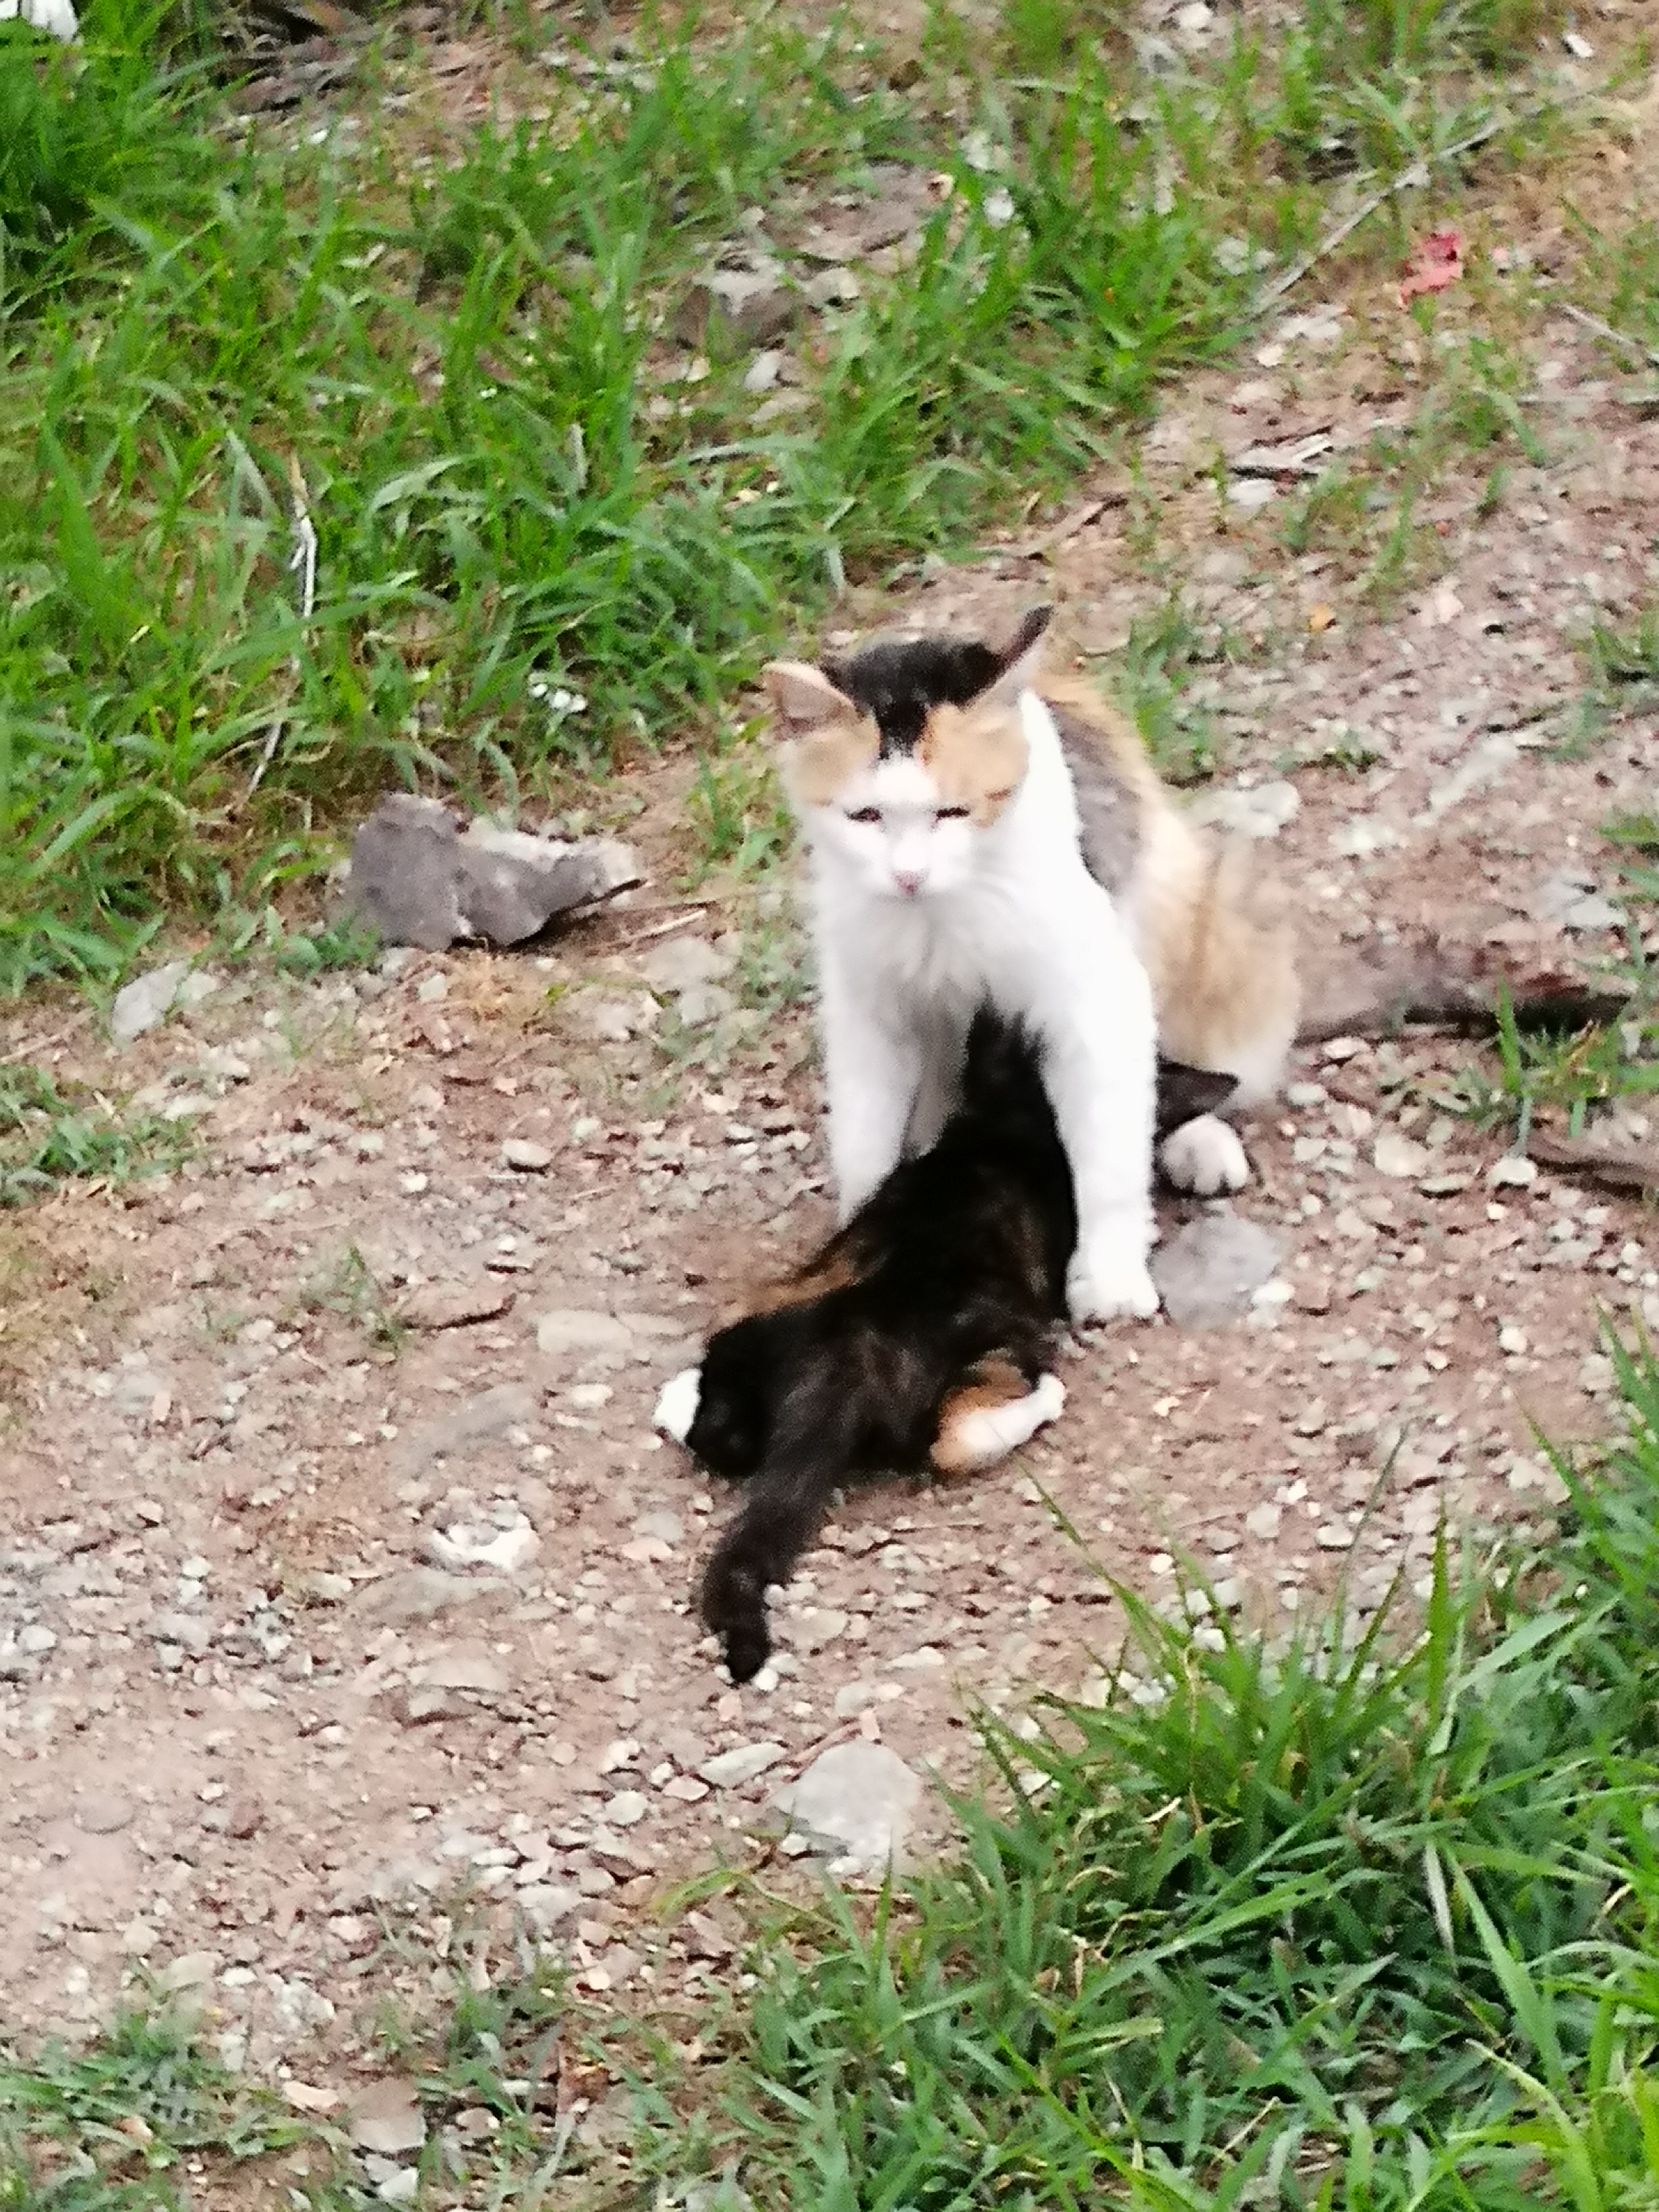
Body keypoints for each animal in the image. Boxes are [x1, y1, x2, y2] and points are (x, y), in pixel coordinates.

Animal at [654, 1009, 1234, 1683]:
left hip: (772, 1302)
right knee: (956, 1439)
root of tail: (845, 1346)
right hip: (997, 1341)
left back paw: (678, 1398)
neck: (1013, 1126)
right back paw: (1045, 1398)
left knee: (720, 1427)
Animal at [763, 606, 1298, 1277]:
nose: (909, 875)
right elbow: (865, 1140)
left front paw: (1110, 1276)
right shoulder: (867, 1002)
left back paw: (1199, 1140)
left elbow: (1110, 1146)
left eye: (953, 812)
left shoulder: (1094, 991)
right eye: (865, 817)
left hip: (1189, 902)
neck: (940, 912)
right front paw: (862, 1230)